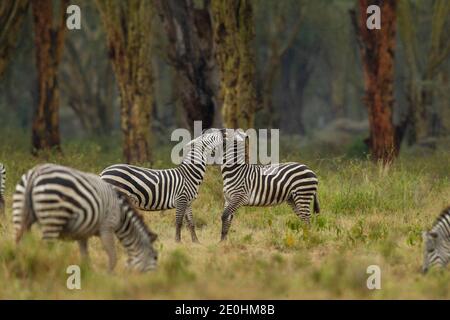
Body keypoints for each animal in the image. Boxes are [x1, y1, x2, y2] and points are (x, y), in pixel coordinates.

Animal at [12, 164, 158, 272]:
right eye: (155, 257)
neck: (121, 215)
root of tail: (34, 175)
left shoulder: (83, 232)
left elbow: (85, 256)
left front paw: (88, 273)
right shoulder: (107, 227)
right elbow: (112, 255)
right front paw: (108, 276)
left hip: (20, 214)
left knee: (21, 244)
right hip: (52, 219)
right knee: (46, 246)